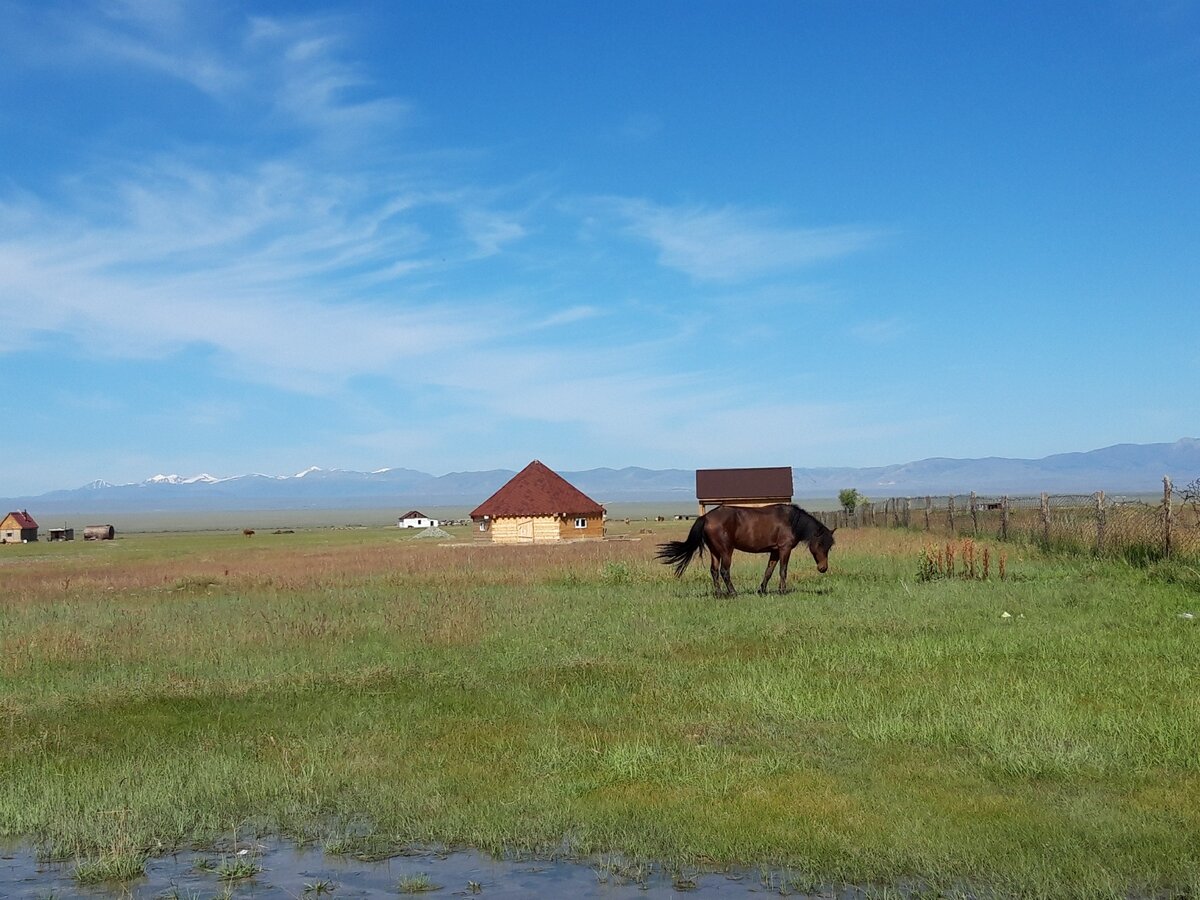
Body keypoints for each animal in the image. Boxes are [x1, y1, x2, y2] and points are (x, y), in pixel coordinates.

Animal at [657, 504, 835, 595]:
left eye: (829, 547)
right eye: (820, 544)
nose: (823, 568)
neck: (791, 521)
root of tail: (706, 517)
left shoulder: (774, 551)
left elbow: (769, 571)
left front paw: (762, 590)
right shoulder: (784, 549)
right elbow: (783, 571)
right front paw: (782, 591)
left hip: (715, 551)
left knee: (714, 571)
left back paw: (719, 594)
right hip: (726, 551)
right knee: (724, 571)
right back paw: (733, 593)